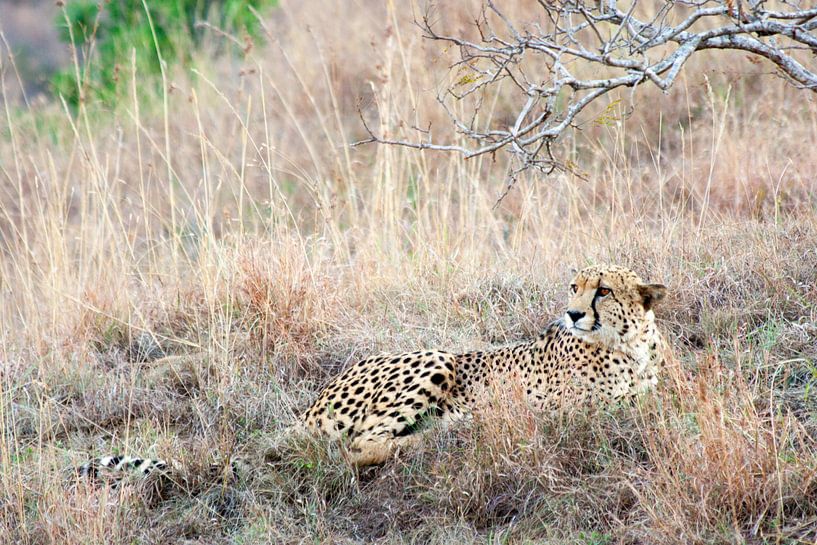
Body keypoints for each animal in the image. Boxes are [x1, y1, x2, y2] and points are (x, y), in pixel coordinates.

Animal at [76, 264, 668, 477]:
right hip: (433, 359)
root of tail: (313, 402)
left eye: (603, 290)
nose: (571, 313)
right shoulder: (569, 407)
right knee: (361, 446)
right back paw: (442, 436)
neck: (629, 345)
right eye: (574, 286)